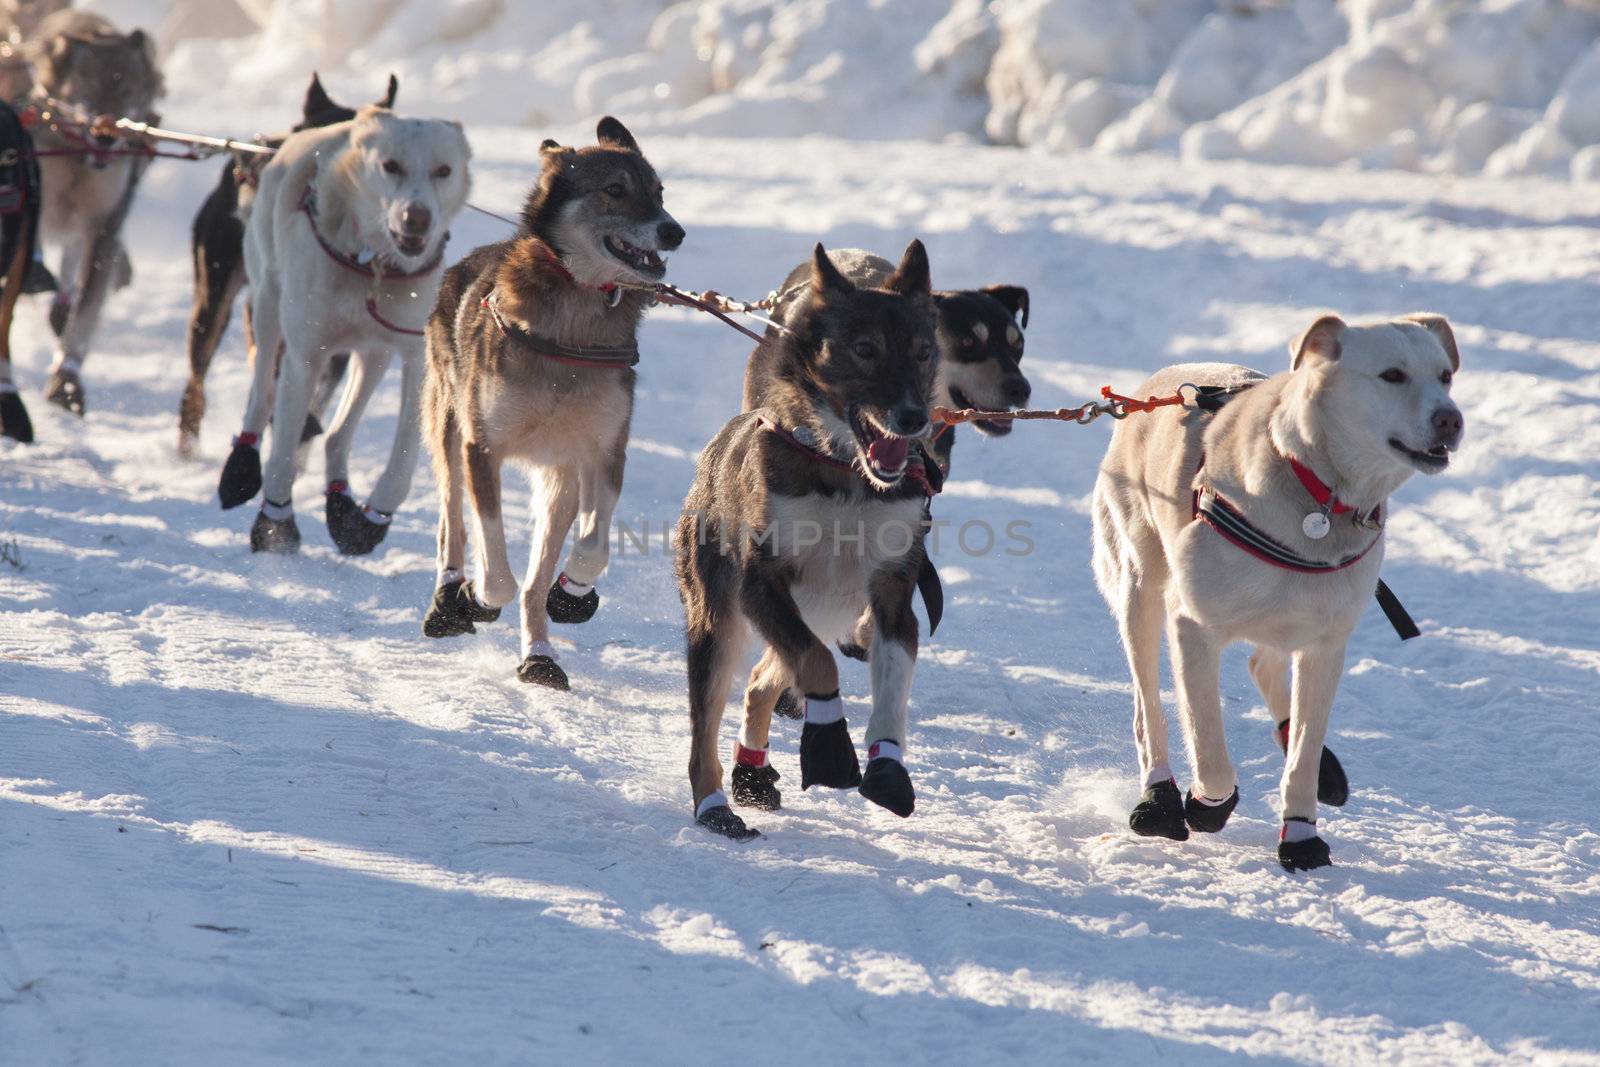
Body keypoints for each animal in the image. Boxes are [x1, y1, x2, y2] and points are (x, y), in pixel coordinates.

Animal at [216, 102, 470, 559]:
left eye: (443, 170)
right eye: (390, 165)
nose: (417, 218)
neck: (373, 264)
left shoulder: (415, 357)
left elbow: (403, 456)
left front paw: (372, 518)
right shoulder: (305, 355)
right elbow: (283, 451)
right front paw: (275, 523)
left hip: (373, 355)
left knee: (337, 433)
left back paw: (340, 500)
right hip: (267, 305)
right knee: (262, 394)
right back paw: (242, 462)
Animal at [419, 116, 681, 694]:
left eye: (659, 192)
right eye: (614, 190)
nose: (674, 231)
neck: (573, 320)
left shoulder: (602, 452)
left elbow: (594, 545)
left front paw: (574, 589)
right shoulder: (482, 448)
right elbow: (493, 558)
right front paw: (477, 596)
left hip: (557, 480)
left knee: (535, 582)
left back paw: (539, 655)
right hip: (448, 434)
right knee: (453, 522)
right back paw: (450, 598)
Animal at [672, 241, 934, 844]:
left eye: (924, 352)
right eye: (865, 349)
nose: (914, 417)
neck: (843, 471)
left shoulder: (891, 589)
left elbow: (891, 682)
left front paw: (887, 766)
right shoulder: (760, 582)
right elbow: (819, 664)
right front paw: (830, 745)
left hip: (817, 607)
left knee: (760, 682)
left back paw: (752, 772)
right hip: (719, 621)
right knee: (706, 728)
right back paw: (716, 802)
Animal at [1088, 313, 1465, 870]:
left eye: (1445, 376)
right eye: (1393, 375)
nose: (1451, 421)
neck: (1319, 492)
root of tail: (1155, 386)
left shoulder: (1325, 645)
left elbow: (1304, 751)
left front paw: (1301, 835)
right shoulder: (1192, 627)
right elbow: (1208, 746)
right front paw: (1206, 805)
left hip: (1289, 612)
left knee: (1262, 664)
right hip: (1141, 590)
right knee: (1148, 708)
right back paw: (1159, 800)